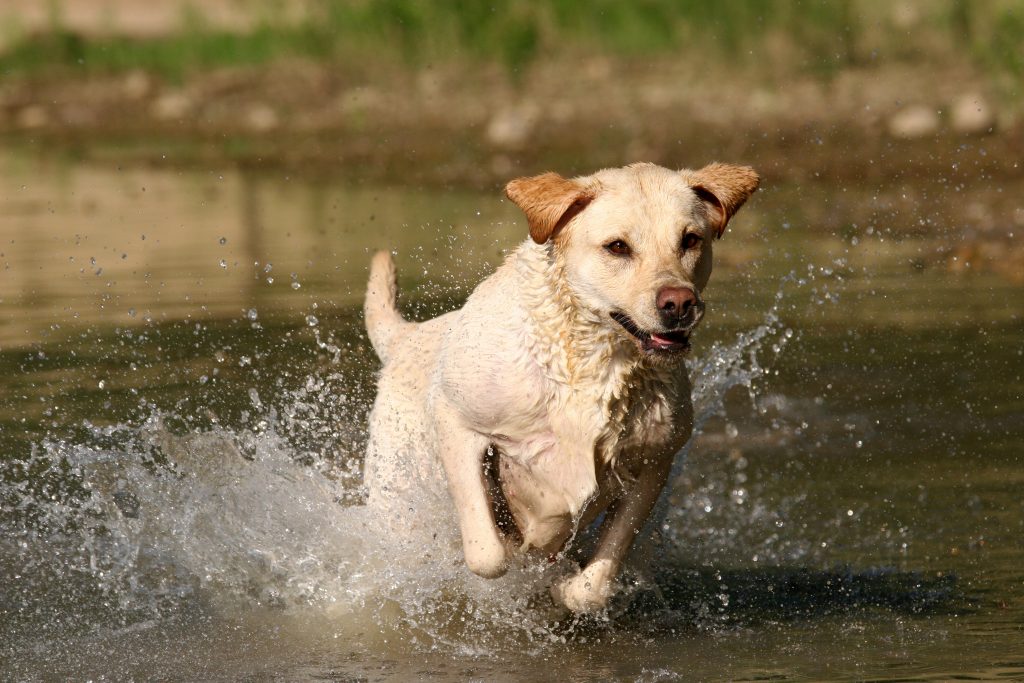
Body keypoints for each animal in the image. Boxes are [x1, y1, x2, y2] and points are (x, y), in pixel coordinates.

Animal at [364, 161, 757, 614]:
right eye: (617, 247)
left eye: (690, 239)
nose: (678, 303)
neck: (593, 361)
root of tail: (405, 337)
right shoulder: (456, 421)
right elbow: (488, 554)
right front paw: (515, 553)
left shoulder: (655, 462)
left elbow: (596, 581)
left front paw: (565, 588)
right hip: (395, 493)